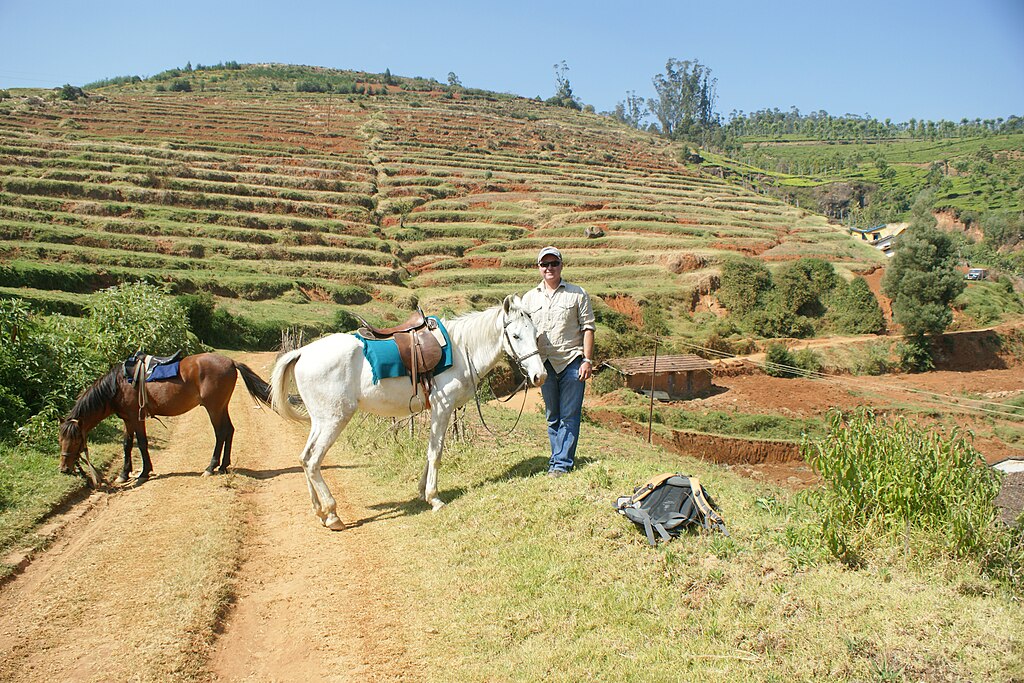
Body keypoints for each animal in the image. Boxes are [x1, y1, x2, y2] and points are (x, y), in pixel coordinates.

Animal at [58, 352, 272, 485]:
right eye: (60, 439)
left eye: (75, 440)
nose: (64, 469)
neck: (118, 385)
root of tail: (230, 362)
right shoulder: (127, 419)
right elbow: (127, 444)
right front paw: (124, 474)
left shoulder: (137, 417)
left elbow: (142, 443)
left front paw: (144, 473)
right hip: (221, 406)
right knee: (229, 430)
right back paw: (223, 466)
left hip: (214, 408)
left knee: (221, 433)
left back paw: (211, 467)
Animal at [268, 294, 548, 528]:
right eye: (516, 336)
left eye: (535, 333)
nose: (540, 376)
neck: (461, 350)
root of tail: (302, 352)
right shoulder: (443, 407)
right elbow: (436, 453)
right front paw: (434, 498)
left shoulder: (438, 410)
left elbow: (430, 451)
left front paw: (422, 490)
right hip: (334, 419)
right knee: (313, 461)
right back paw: (333, 513)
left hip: (320, 420)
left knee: (304, 457)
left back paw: (319, 511)